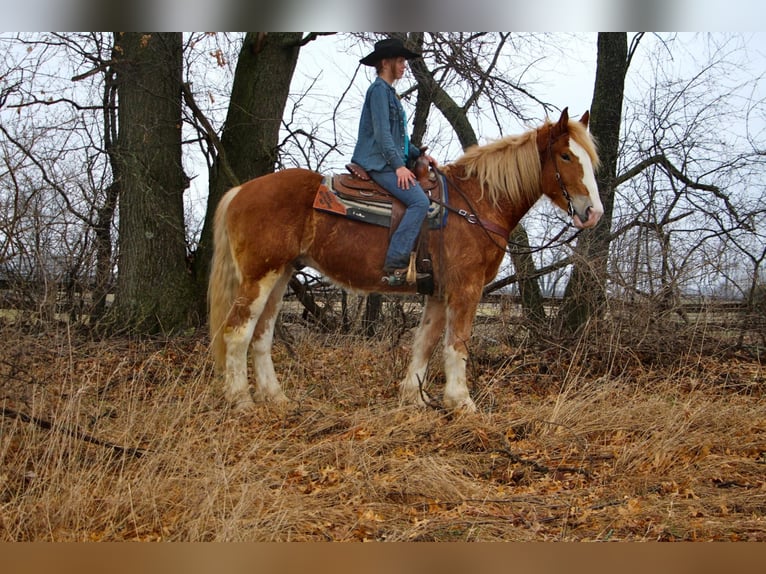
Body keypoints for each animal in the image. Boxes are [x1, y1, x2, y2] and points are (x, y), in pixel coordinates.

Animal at [207, 108, 604, 414]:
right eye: (566, 156)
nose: (593, 213)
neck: (476, 203)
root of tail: (242, 190)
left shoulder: (439, 292)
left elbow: (425, 342)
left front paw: (414, 397)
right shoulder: (466, 288)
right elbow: (456, 344)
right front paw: (462, 403)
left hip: (280, 275)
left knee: (262, 335)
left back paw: (276, 398)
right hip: (259, 276)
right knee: (237, 333)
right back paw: (241, 401)